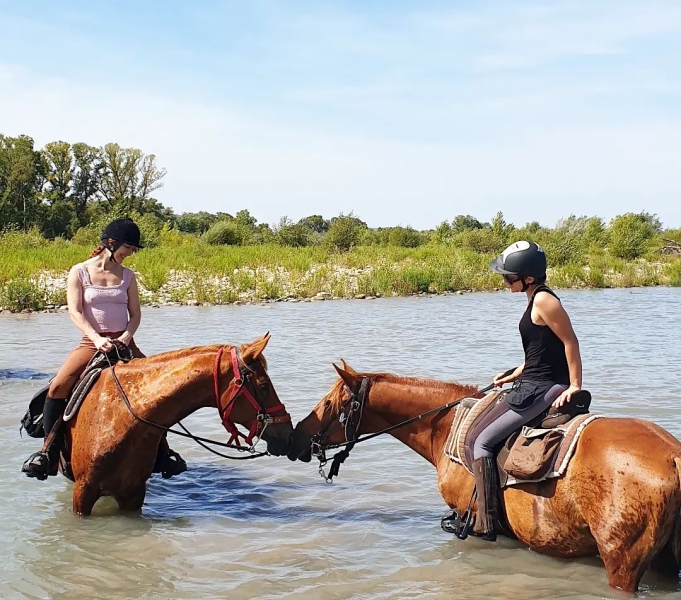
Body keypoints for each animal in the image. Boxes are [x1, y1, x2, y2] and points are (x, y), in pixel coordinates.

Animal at [290, 364, 680, 592]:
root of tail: (673, 454)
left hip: (621, 563)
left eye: (329, 404)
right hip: (662, 562)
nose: (296, 438)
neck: (444, 425)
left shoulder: (472, 520)